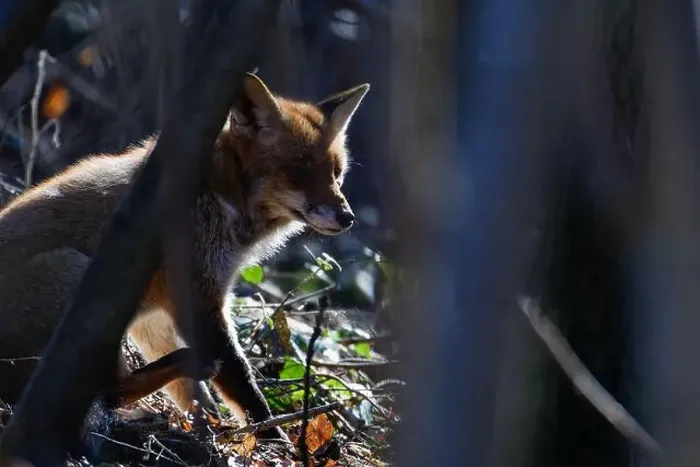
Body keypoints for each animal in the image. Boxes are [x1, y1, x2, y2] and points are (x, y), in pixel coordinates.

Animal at [0, 72, 369, 441]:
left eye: (337, 173)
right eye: (299, 171)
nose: (348, 218)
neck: (219, 194)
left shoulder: (157, 316)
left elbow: (194, 395)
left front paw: (208, 428)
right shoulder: (198, 295)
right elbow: (242, 384)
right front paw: (269, 436)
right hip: (75, 276)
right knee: (102, 391)